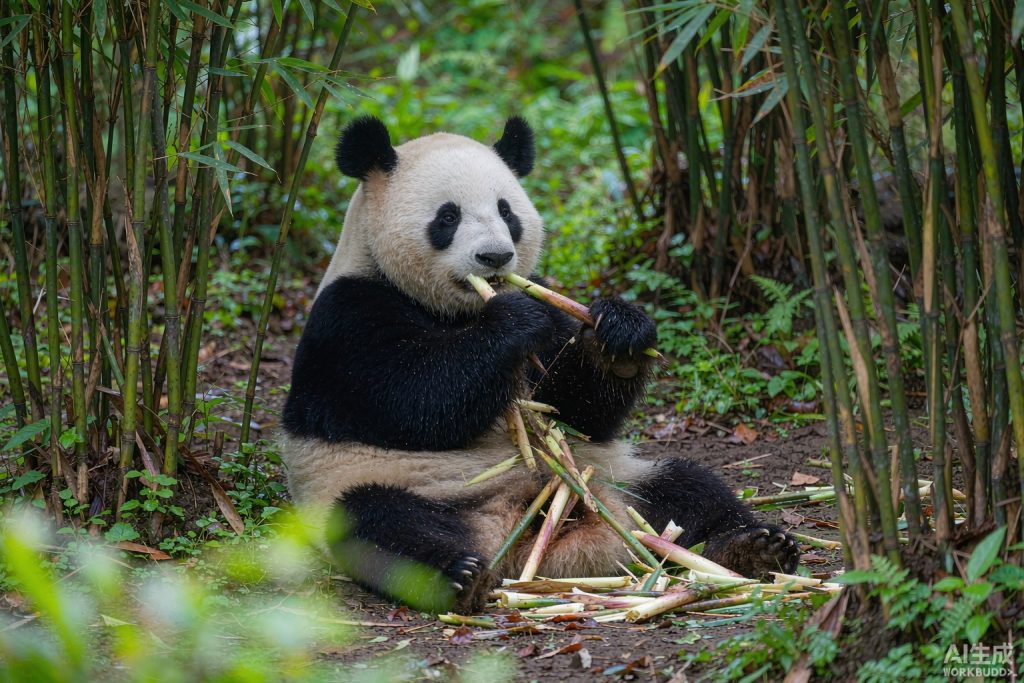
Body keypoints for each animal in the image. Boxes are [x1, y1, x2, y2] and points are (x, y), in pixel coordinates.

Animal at [280, 116, 800, 614]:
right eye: (448, 216)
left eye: (506, 211)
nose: (495, 257)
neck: (457, 309)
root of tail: (518, 531)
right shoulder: (347, 317)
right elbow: (412, 401)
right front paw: (512, 321)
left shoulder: (545, 298)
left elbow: (575, 413)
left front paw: (621, 334)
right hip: (392, 487)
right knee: (381, 524)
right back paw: (461, 575)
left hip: (615, 479)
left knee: (689, 488)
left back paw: (754, 549)